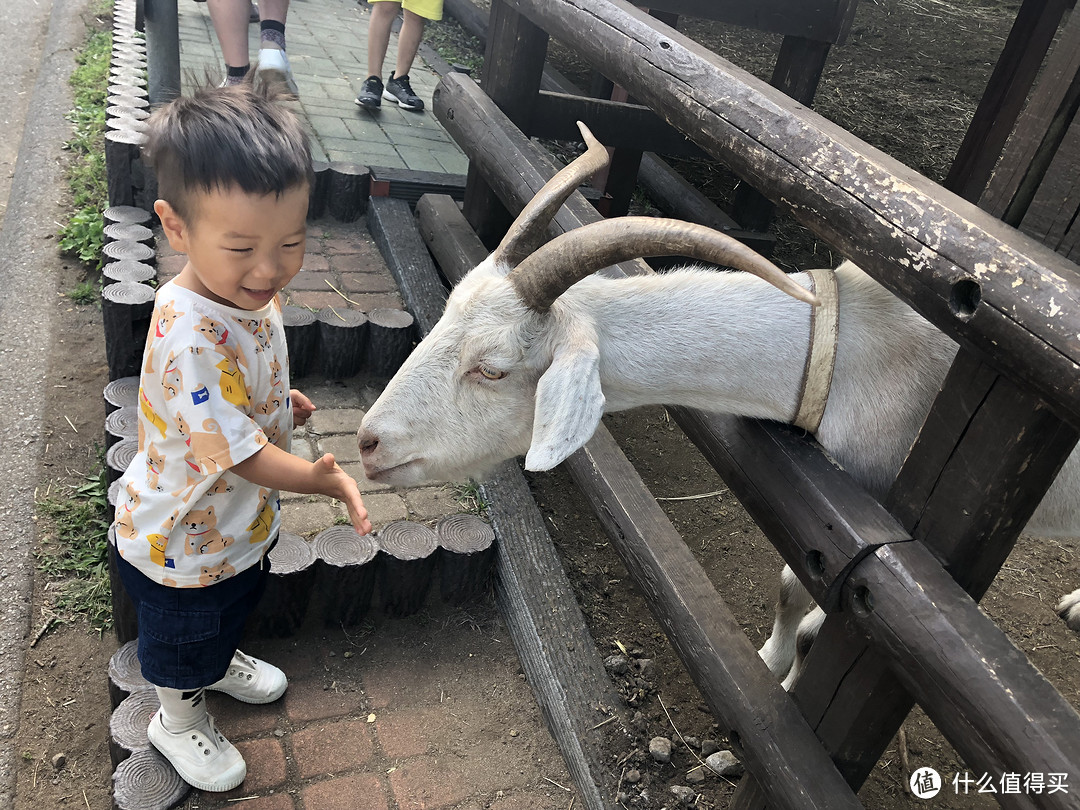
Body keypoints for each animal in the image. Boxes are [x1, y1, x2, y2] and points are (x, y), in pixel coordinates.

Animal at [360, 125, 1080, 686]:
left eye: (492, 368)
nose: (369, 442)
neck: (849, 343)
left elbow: (817, 614)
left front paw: (784, 679)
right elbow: (791, 585)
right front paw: (773, 658)